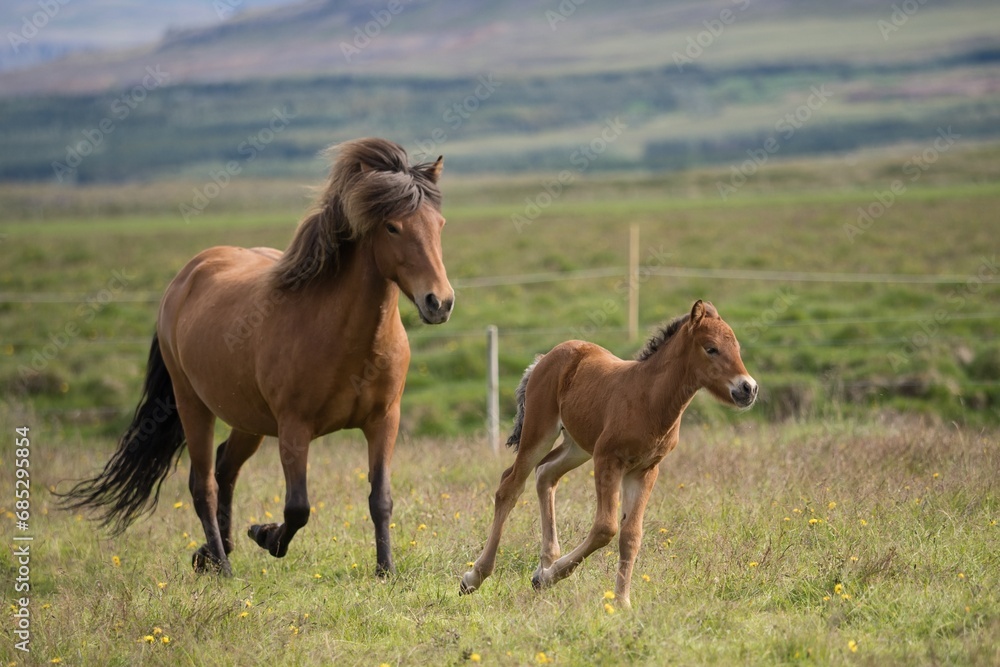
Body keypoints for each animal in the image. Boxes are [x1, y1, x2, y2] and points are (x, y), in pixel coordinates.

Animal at [58, 137, 454, 577]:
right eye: (392, 227)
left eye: (439, 225)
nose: (439, 302)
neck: (348, 341)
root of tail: (186, 277)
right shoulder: (294, 428)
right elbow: (298, 508)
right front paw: (265, 535)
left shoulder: (383, 421)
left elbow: (380, 499)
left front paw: (386, 571)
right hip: (193, 405)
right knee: (203, 484)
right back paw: (220, 564)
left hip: (248, 419)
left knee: (225, 467)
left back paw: (214, 553)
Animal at [460, 300, 757, 608]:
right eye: (711, 348)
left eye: (736, 347)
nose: (748, 388)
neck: (649, 398)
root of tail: (545, 358)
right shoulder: (608, 460)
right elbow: (606, 527)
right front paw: (552, 577)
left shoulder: (645, 470)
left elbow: (631, 535)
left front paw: (621, 602)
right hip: (539, 432)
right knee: (510, 485)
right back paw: (475, 577)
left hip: (577, 446)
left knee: (545, 474)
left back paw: (544, 563)